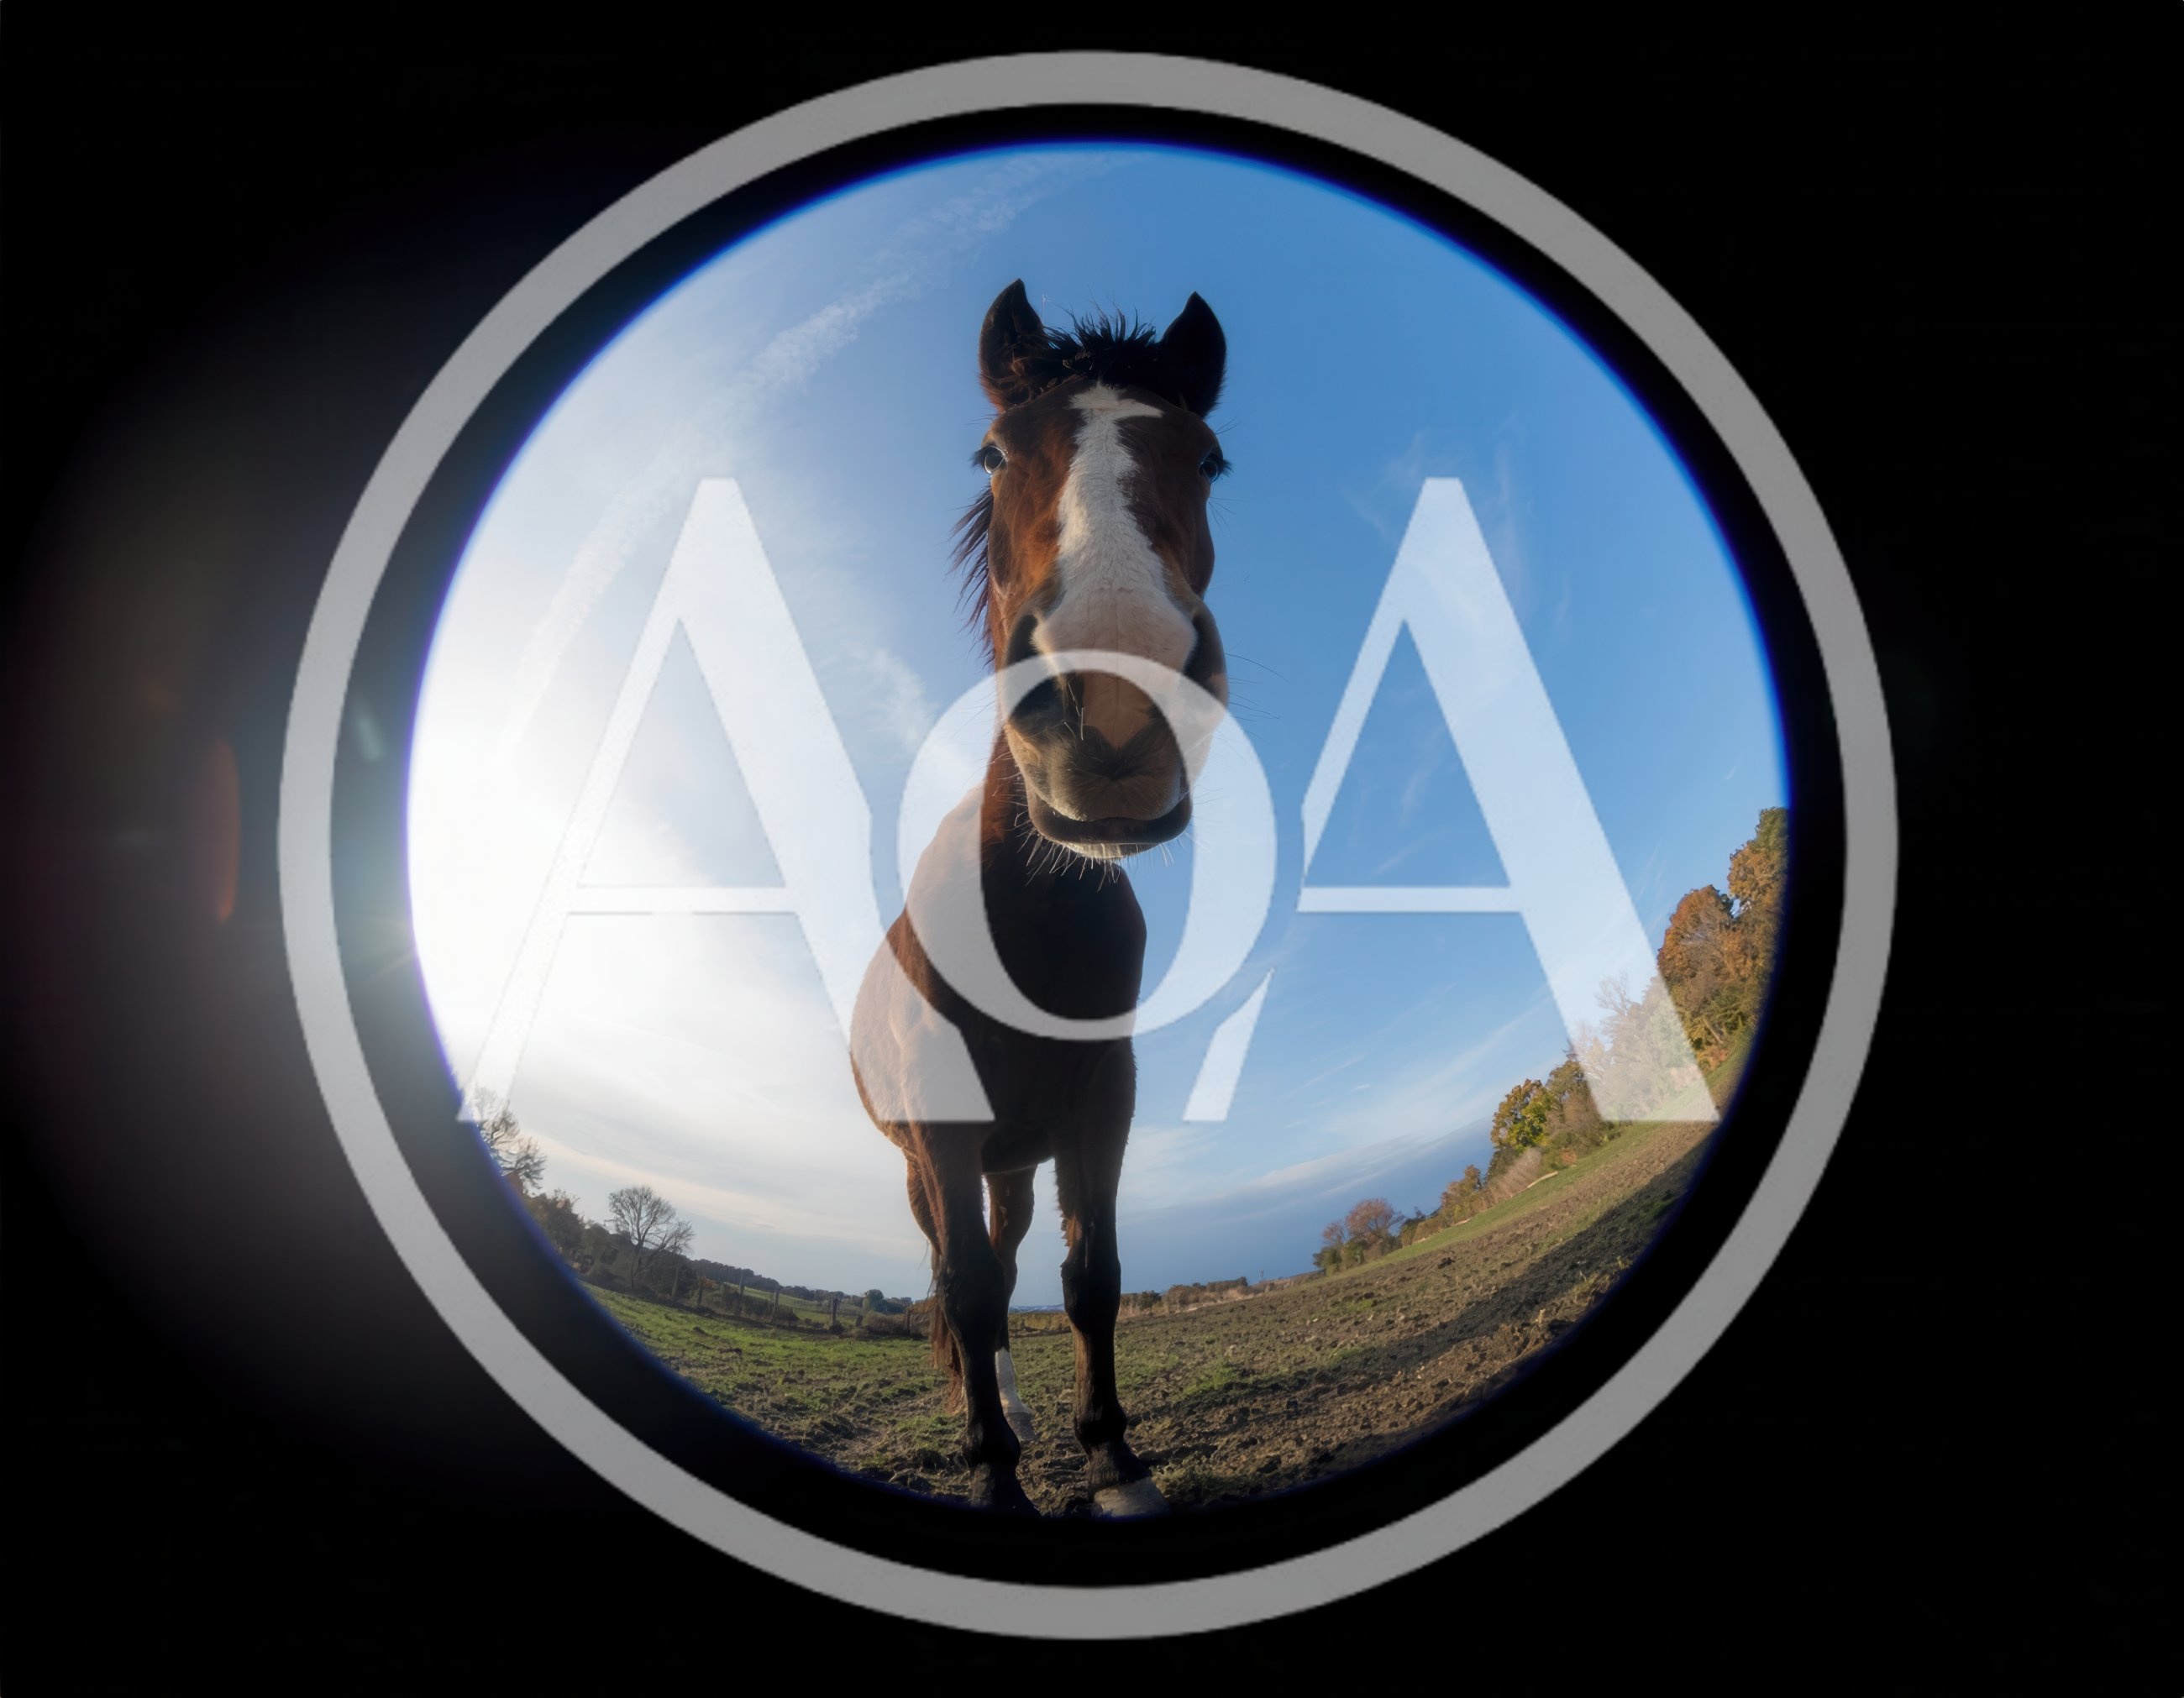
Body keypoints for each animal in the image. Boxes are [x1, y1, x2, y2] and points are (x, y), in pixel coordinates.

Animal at [849, 280, 1231, 1517]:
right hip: (931, 1164)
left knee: (1011, 1258)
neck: (1021, 920)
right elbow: (968, 1293)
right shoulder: (944, 1126)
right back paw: (994, 1425)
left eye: (1209, 458)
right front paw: (999, 1479)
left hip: (1012, 1159)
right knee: (955, 1274)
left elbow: (1088, 1275)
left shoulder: (1102, 1102)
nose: (1113, 703)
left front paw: (1111, 1454)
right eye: (991, 451)